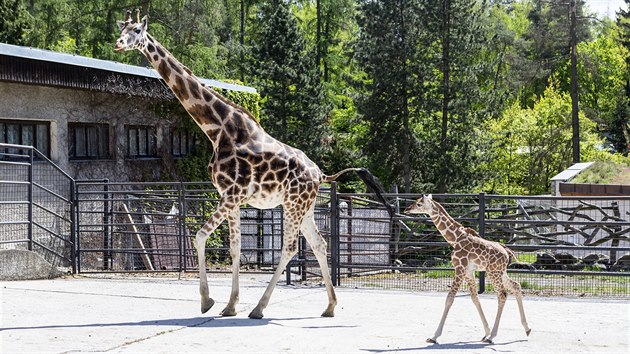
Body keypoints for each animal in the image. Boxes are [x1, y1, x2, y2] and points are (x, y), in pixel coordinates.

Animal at [115, 9, 388, 320]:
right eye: (121, 28)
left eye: (137, 30)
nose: (118, 44)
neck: (217, 130)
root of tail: (320, 174)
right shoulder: (229, 197)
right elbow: (234, 248)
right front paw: (230, 305)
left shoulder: (232, 194)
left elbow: (199, 236)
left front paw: (207, 301)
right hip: (305, 208)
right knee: (319, 244)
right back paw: (329, 306)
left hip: (293, 205)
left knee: (289, 248)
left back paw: (259, 308)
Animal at [408, 195, 532, 344]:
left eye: (419, 204)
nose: (406, 208)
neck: (455, 239)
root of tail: (507, 252)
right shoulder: (468, 272)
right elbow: (475, 298)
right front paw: (486, 332)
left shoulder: (459, 268)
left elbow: (449, 299)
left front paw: (434, 336)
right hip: (501, 272)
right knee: (516, 286)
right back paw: (526, 329)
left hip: (493, 272)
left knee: (502, 294)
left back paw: (493, 336)